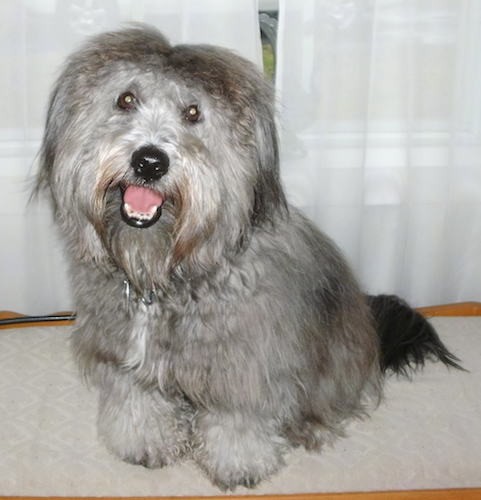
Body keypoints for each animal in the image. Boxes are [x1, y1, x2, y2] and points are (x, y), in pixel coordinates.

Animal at [34, 26, 462, 488]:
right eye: (126, 99)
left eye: (193, 113)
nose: (149, 161)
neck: (168, 270)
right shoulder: (122, 352)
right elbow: (139, 399)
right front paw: (145, 440)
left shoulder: (246, 363)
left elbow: (237, 420)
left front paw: (238, 463)